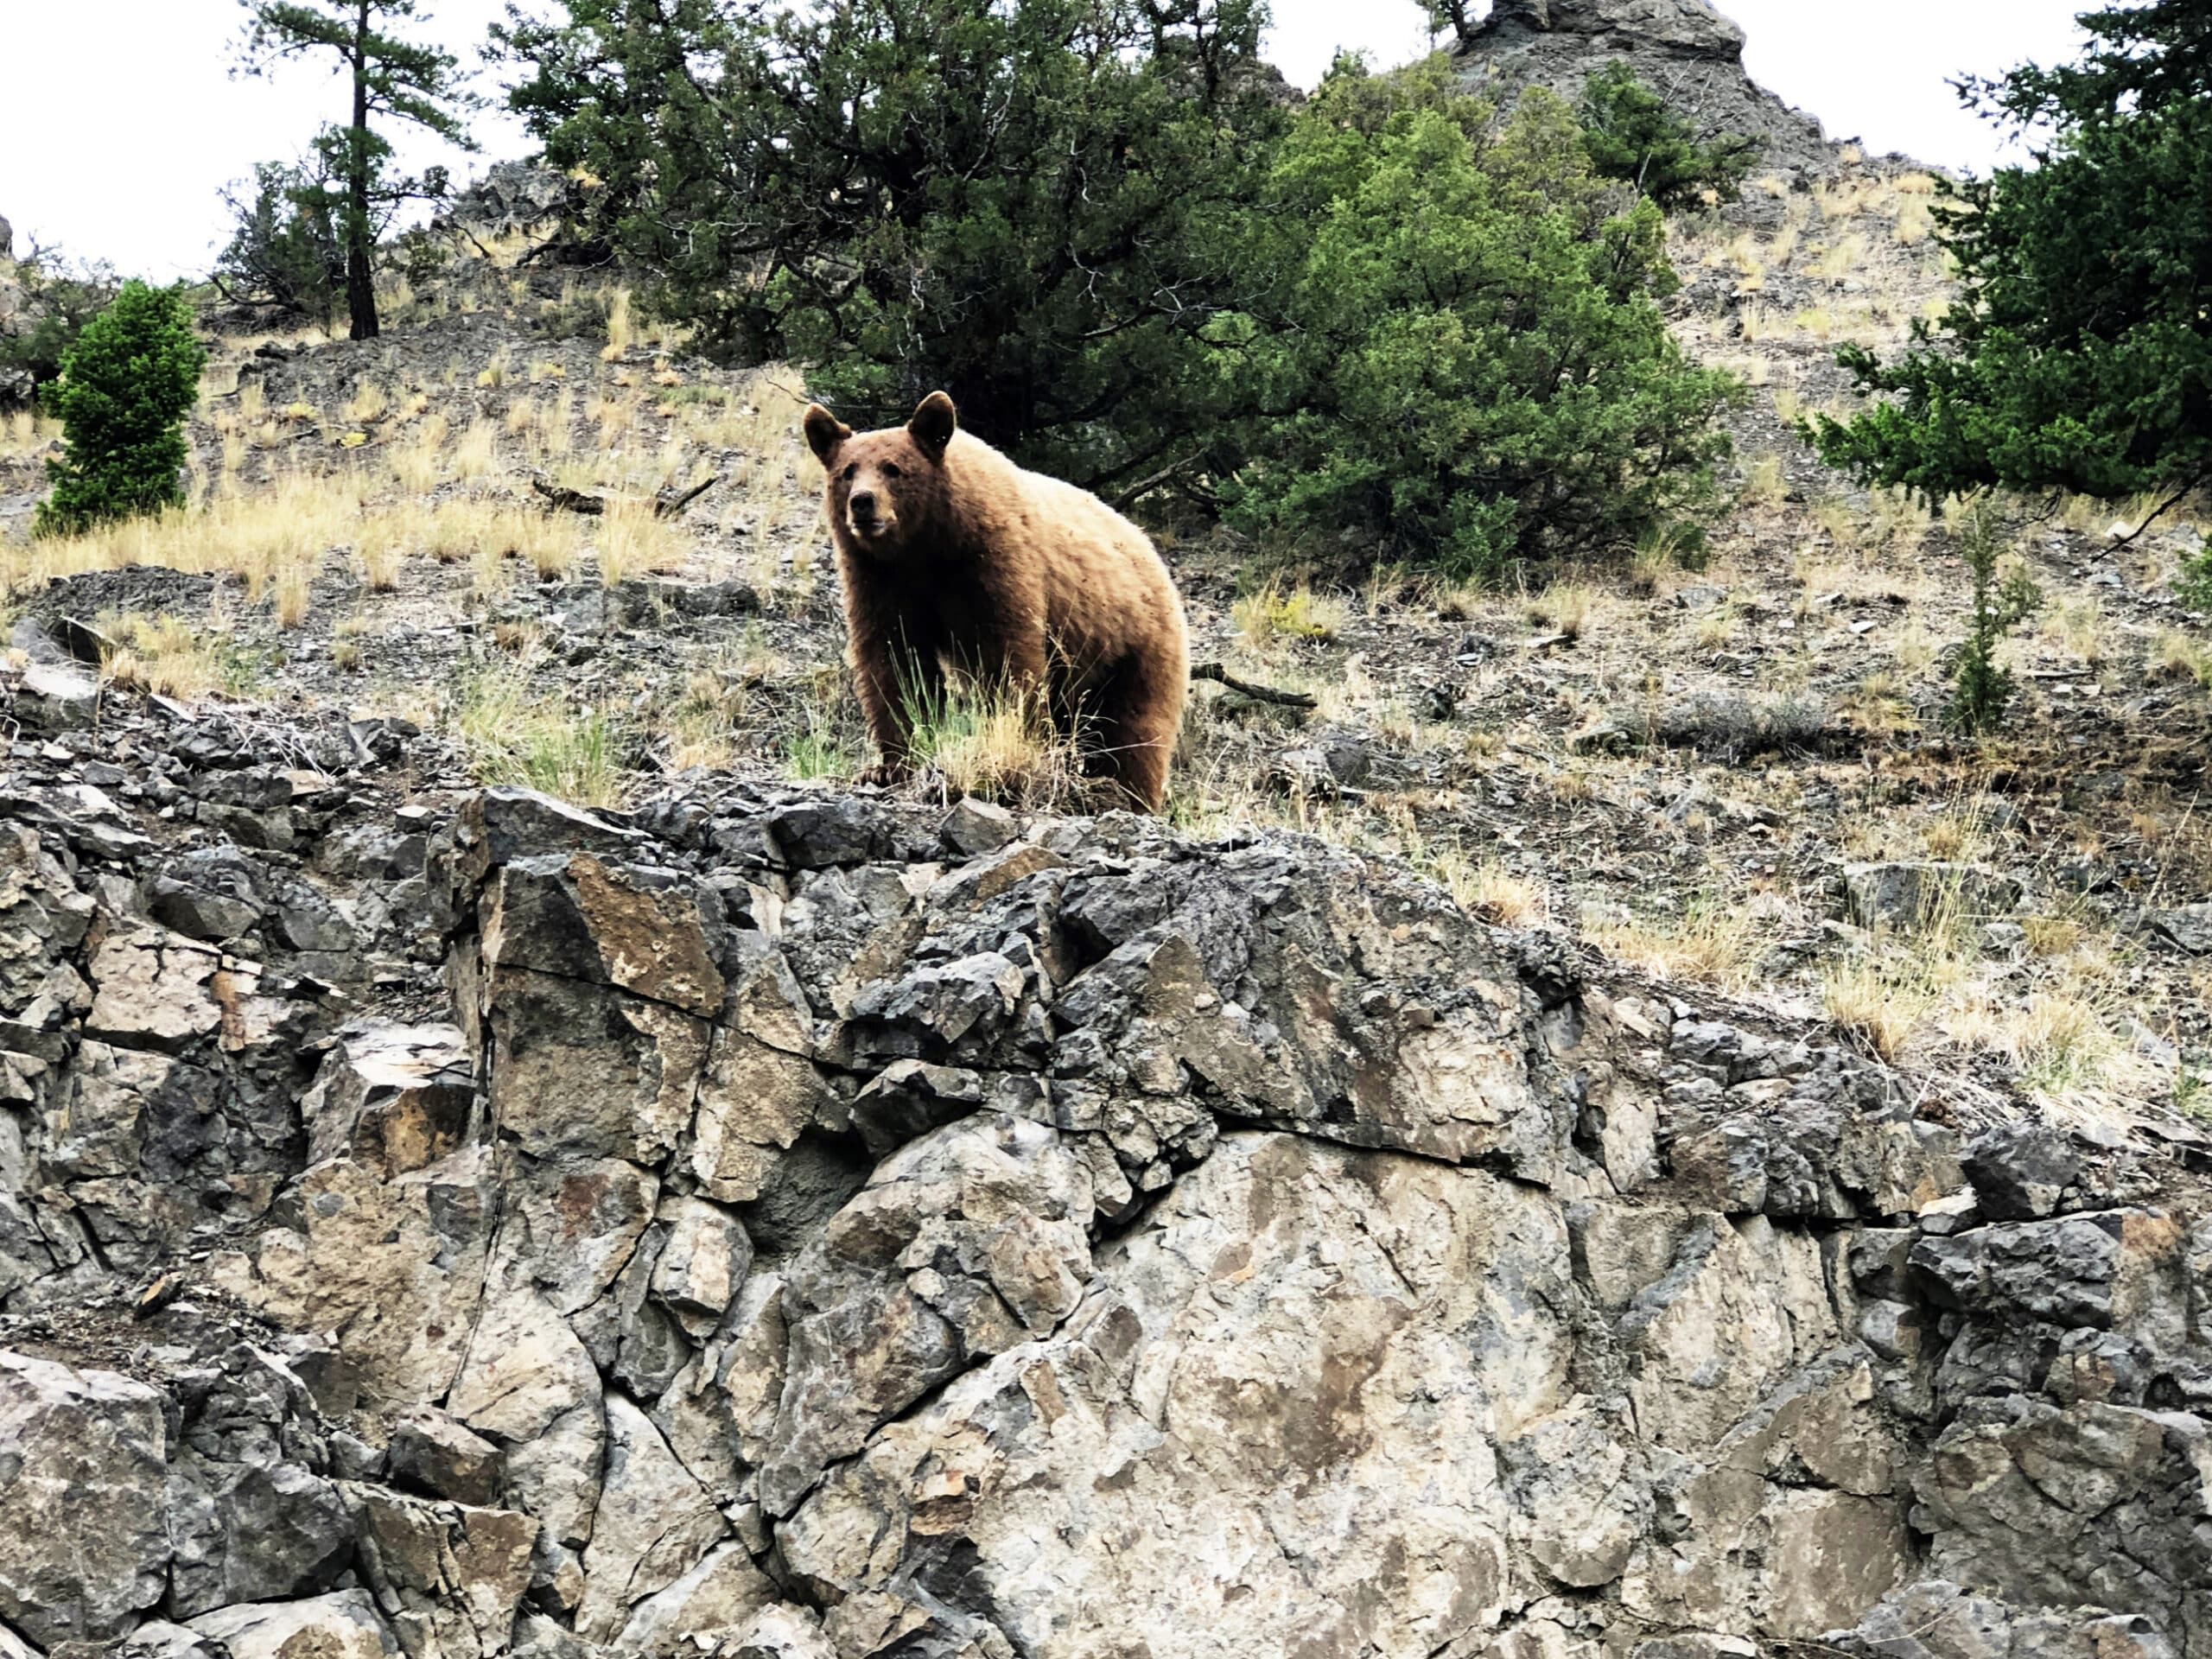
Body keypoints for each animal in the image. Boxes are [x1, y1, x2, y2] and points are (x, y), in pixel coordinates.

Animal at [803, 390, 1190, 811]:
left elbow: (1007, 656)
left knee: (1134, 726)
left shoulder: (991, 562)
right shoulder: (879, 579)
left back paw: (1130, 793)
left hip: (1136, 641)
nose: (863, 502)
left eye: (893, 469)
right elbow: (895, 662)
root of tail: (1148, 548)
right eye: (847, 471)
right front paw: (888, 766)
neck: (926, 547)